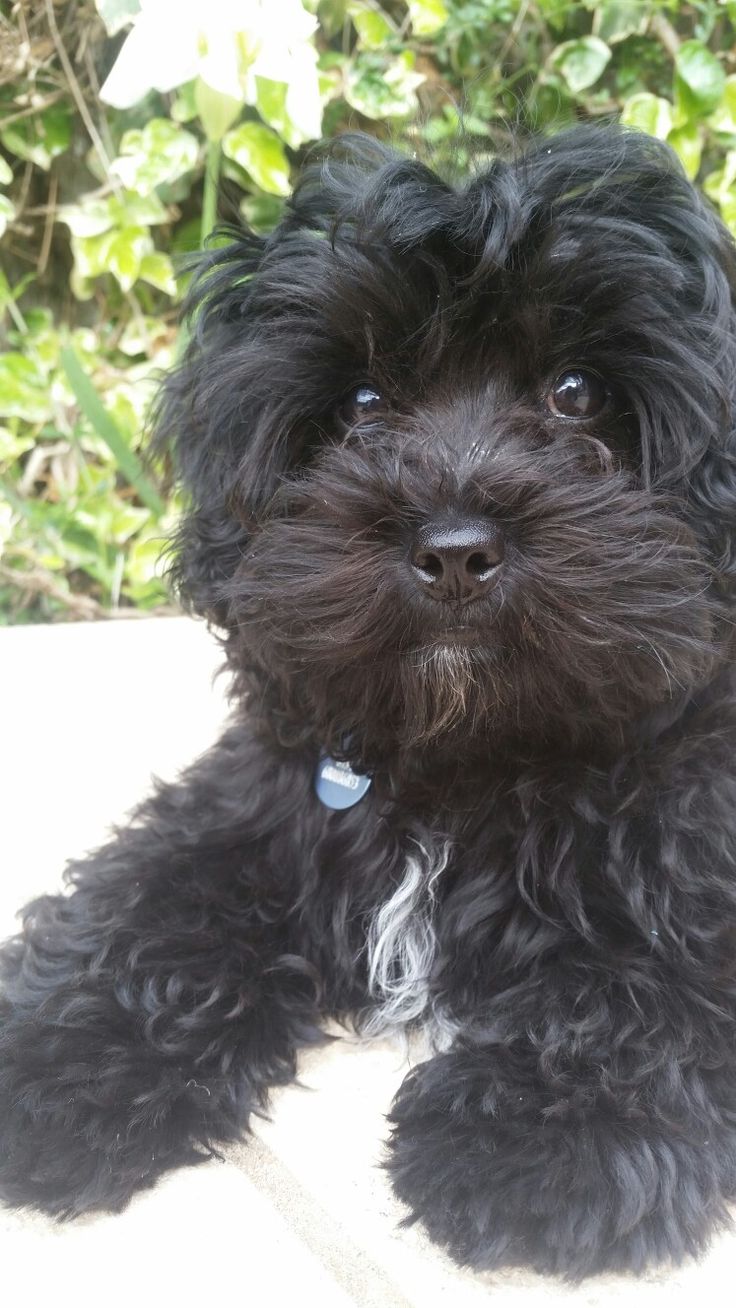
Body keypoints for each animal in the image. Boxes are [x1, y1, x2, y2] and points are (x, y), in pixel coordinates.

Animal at [4, 127, 736, 1281]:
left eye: (576, 391)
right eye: (359, 405)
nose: (454, 550)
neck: (462, 756)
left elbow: (657, 963)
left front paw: (546, 1134)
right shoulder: (255, 796)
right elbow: (159, 891)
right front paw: (65, 1048)